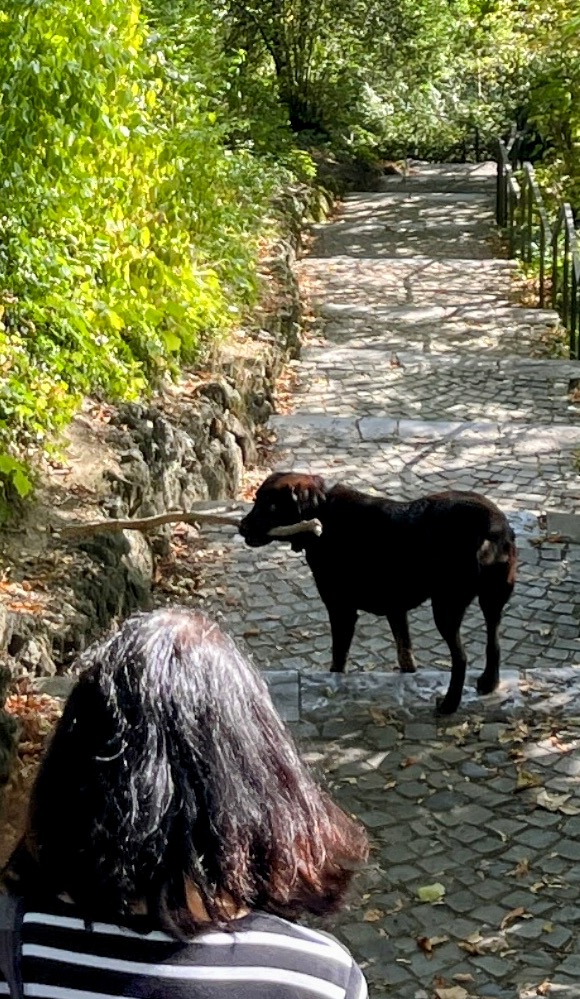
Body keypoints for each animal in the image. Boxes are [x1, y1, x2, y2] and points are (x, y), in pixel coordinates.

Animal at [239, 472, 517, 714]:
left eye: (271, 506)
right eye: (256, 500)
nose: (241, 527)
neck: (324, 515)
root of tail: (493, 528)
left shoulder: (341, 610)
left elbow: (338, 659)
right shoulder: (396, 610)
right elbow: (406, 657)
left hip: (446, 607)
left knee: (460, 659)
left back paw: (449, 705)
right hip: (493, 600)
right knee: (493, 643)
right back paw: (489, 682)